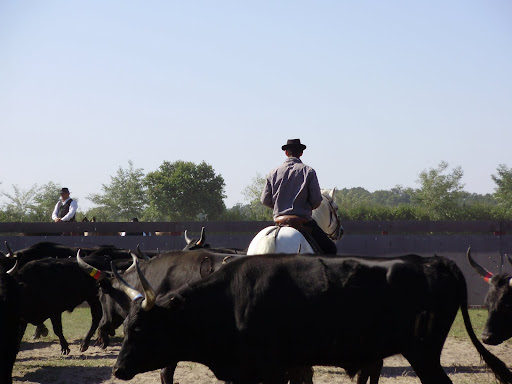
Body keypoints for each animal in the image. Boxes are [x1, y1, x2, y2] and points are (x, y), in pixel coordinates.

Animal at [114, 254, 512, 382]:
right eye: (126, 326)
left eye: (140, 328)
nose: (117, 369)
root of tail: (431, 260)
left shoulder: (270, 369)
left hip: (424, 355)